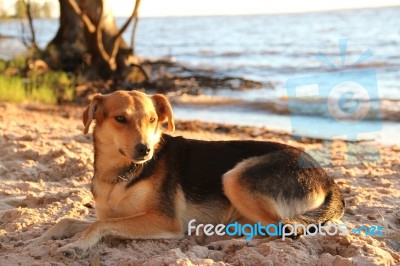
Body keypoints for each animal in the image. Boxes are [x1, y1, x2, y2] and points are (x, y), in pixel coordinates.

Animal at [33, 90, 344, 256]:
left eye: (152, 120)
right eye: (120, 119)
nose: (145, 150)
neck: (122, 173)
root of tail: (328, 178)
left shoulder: (165, 220)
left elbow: (97, 225)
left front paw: (77, 245)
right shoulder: (113, 213)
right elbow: (67, 219)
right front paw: (39, 240)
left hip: (235, 177)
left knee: (286, 232)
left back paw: (230, 244)